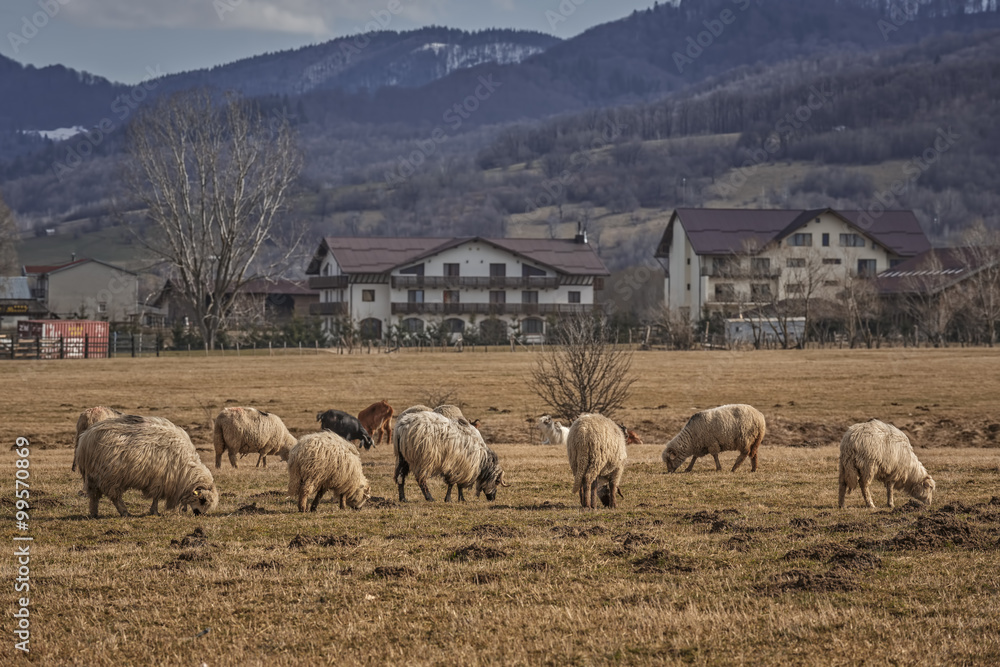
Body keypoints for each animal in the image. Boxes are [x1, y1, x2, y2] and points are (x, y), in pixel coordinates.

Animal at [75, 415, 219, 518]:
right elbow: (156, 497)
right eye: (202, 500)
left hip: (94, 476)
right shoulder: (160, 479)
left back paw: (94, 513)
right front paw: (154, 511)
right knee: (115, 497)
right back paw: (125, 512)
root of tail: (86, 438)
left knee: (94, 496)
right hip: (109, 476)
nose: (199, 514)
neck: (186, 468)